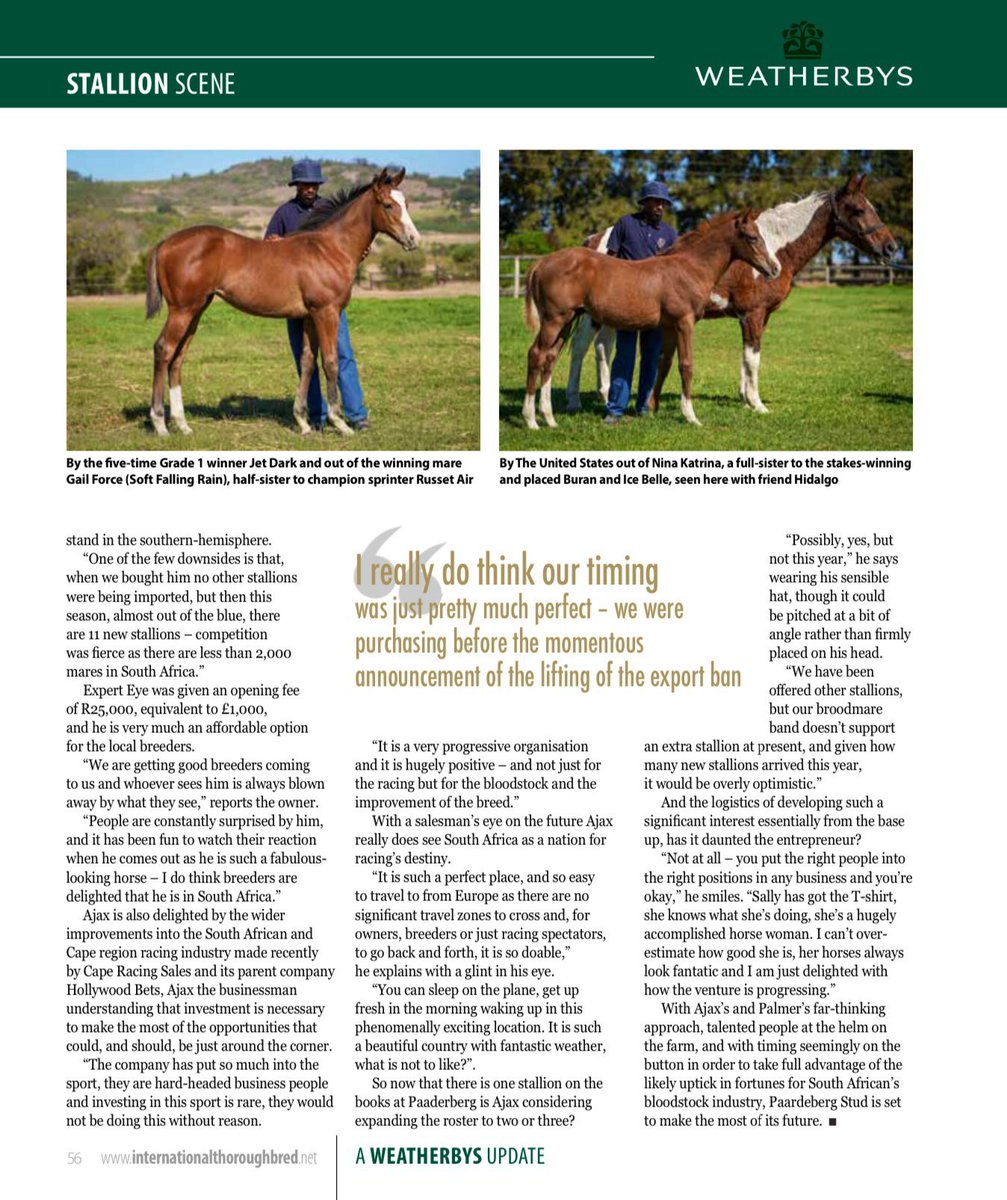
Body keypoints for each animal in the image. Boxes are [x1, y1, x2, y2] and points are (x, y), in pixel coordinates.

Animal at [145, 167, 421, 437]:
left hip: (197, 309)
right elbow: (330, 362)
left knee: (178, 357)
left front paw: (304, 423)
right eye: (388, 205)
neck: (329, 249)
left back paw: (182, 425)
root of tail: (165, 243)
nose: (414, 239)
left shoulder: (309, 316)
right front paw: (339, 423)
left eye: (406, 203)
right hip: (182, 310)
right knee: (164, 349)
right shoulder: (326, 312)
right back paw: (160, 424)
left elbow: (307, 361)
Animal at [522, 210, 781, 430]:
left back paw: (550, 419)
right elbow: (686, 365)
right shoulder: (684, 322)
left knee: (550, 358)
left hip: (565, 322)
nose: (774, 268)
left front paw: (651, 408)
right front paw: (691, 416)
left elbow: (663, 363)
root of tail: (541, 262)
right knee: (536, 355)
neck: (689, 268)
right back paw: (531, 420)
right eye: (752, 237)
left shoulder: (669, 327)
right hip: (554, 320)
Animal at [564, 175, 899, 423]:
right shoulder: (753, 313)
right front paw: (757, 404)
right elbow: (753, 358)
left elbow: (747, 356)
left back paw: (605, 395)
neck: (776, 247)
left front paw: (744, 399)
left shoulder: (757, 316)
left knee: (603, 349)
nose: (891, 248)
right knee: (581, 349)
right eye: (858, 210)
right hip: (591, 316)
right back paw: (574, 402)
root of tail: (595, 239)